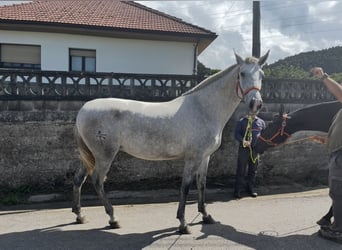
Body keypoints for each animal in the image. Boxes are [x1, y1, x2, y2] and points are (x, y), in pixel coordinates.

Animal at [73, 50, 270, 234]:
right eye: (242, 73)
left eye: (261, 75)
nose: (256, 104)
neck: (203, 109)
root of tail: (83, 109)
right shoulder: (193, 158)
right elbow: (185, 187)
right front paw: (183, 223)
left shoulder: (205, 157)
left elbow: (202, 184)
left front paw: (206, 216)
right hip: (104, 155)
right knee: (97, 181)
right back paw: (113, 218)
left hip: (90, 156)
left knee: (79, 179)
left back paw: (79, 215)